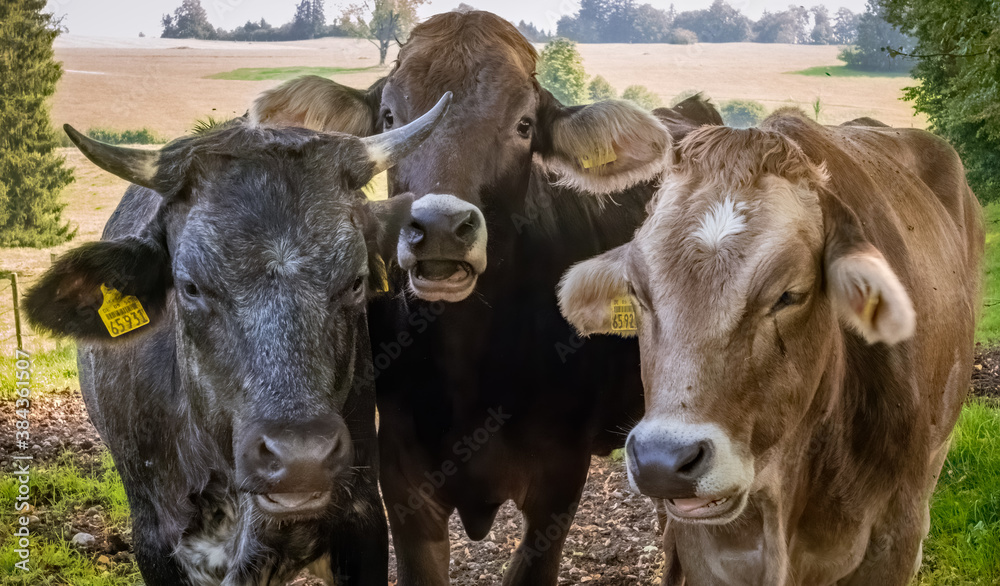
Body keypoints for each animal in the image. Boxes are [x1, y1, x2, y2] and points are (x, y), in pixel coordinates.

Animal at [248, 9, 723, 585]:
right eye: (389, 118)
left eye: (524, 125)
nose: (439, 229)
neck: (467, 369)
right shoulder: (404, 485)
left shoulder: (558, 486)